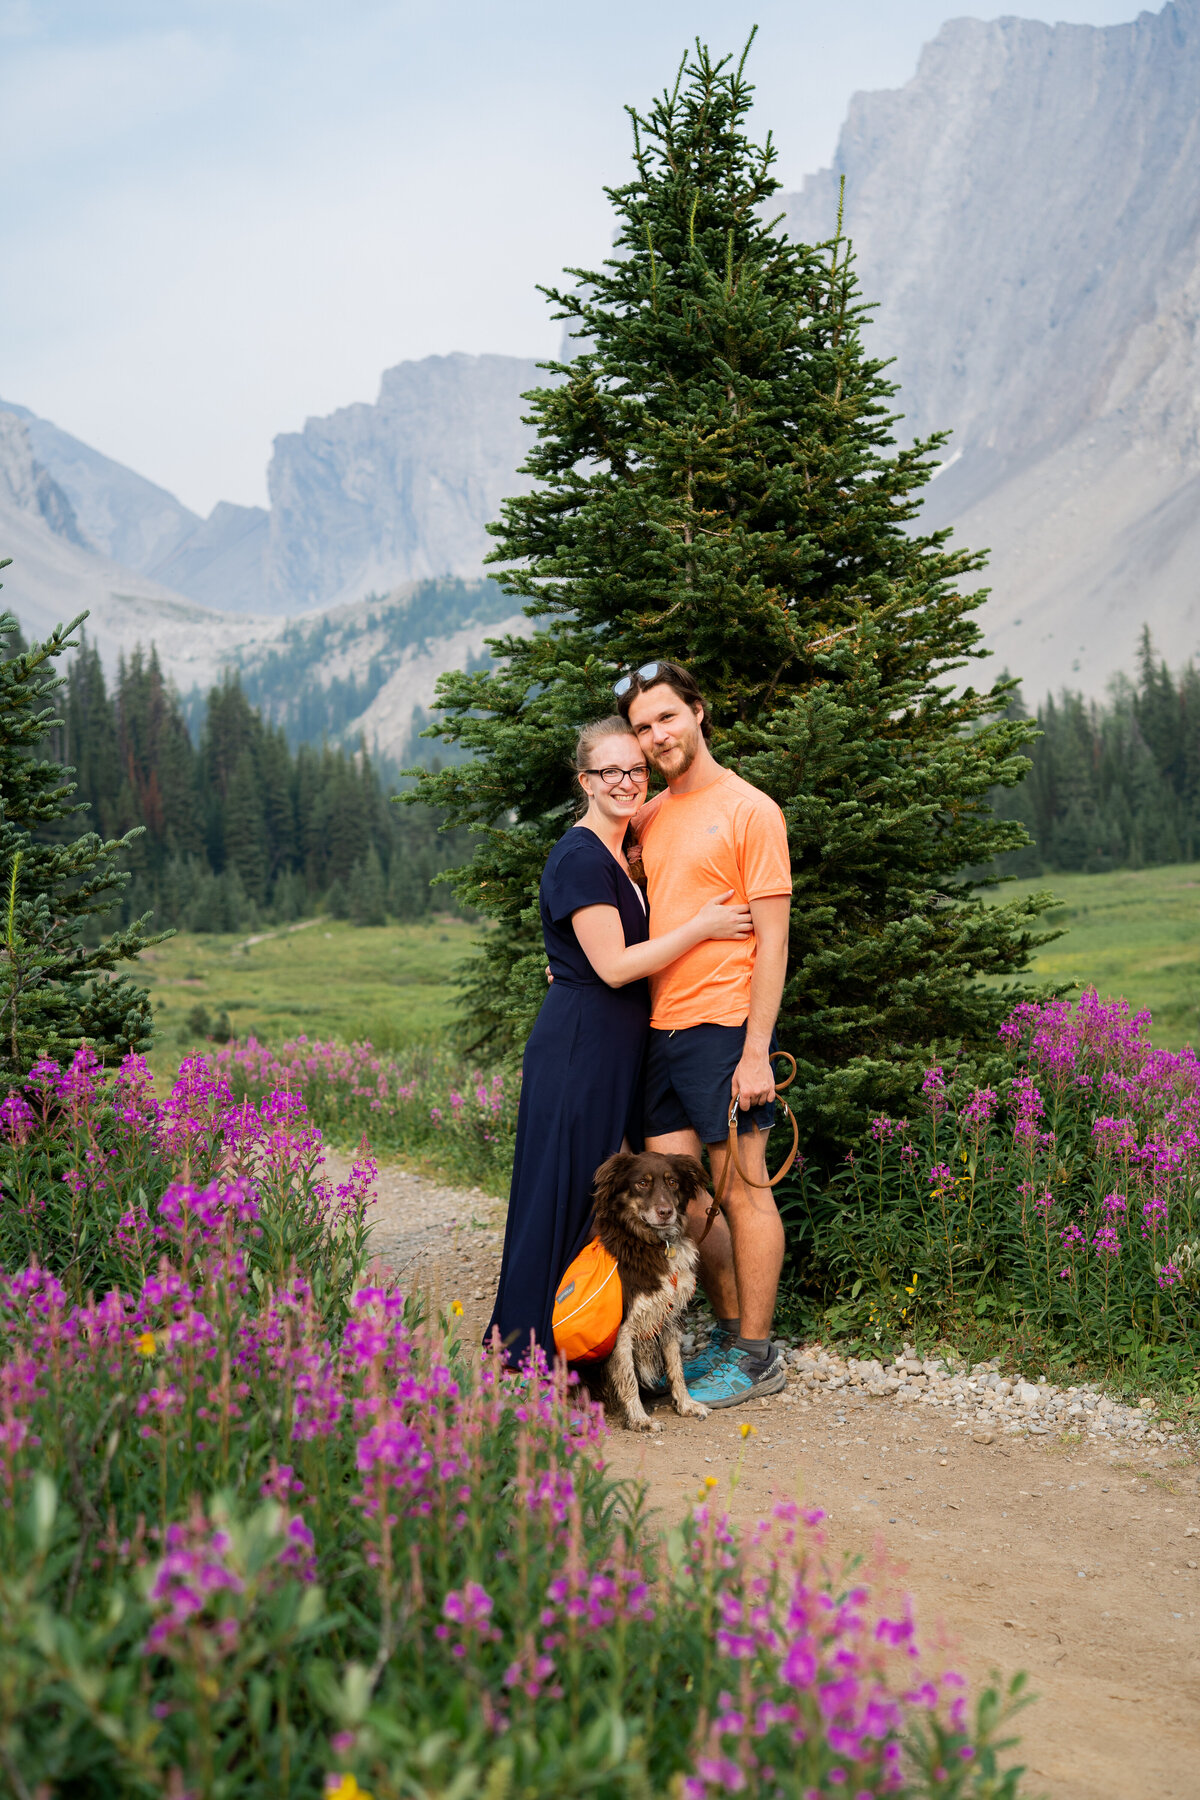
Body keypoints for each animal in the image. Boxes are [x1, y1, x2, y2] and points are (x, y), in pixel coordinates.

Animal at [590, 1152, 708, 1432]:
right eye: (642, 1183)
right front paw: (639, 1419)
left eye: (673, 1182)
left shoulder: (670, 1317)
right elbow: (628, 1377)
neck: (652, 1243)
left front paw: (686, 1405)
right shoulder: (623, 1326)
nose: (666, 1212)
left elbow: (676, 1367)